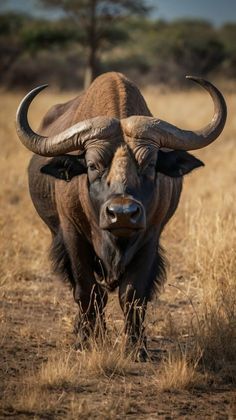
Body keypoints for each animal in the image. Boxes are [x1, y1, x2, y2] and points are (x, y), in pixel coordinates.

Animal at [16, 72, 227, 360]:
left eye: (150, 164)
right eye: (92, 165)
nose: (123, 214)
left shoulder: (150, 238)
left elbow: (133, 293)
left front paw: (136, 348)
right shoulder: (72, 236)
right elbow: (87, 290)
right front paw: (87, 340)